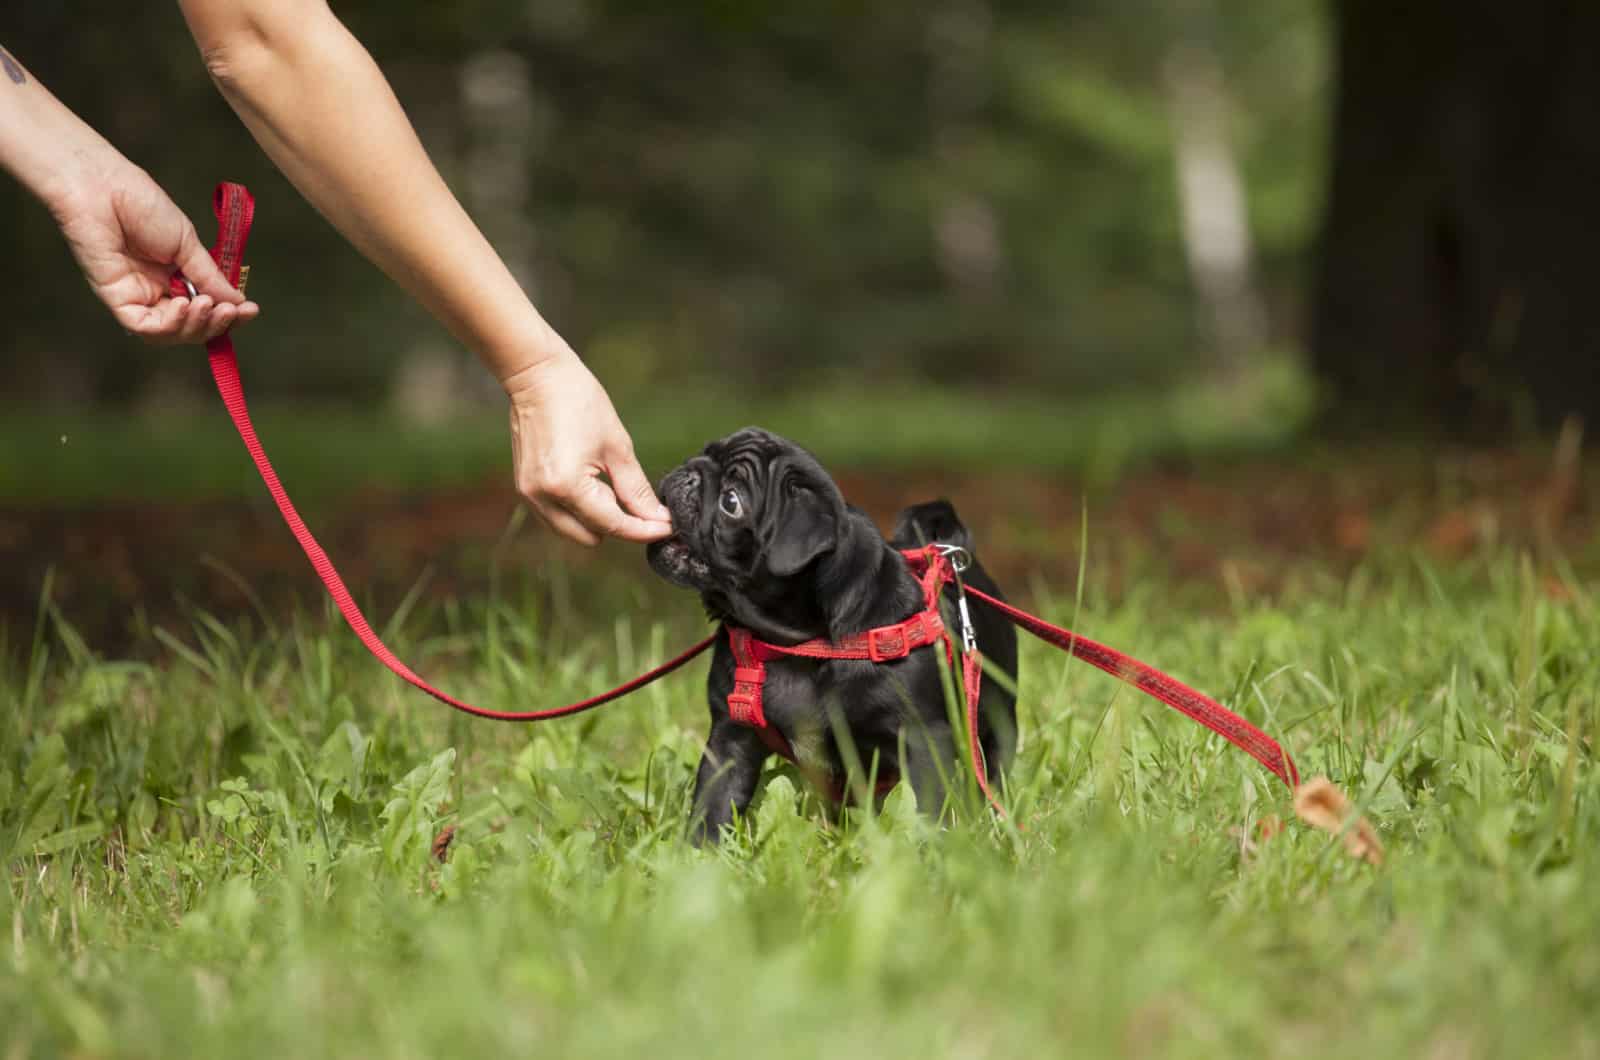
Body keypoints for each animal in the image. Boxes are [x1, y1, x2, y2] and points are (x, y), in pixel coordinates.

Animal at [646, 429, 1011, 845]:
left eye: (731, 502)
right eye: (703, 452)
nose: (689, 472)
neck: (800, 645)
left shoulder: (924, 741)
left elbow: (929, 808)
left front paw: (931, 849)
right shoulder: (729, 738)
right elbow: (714, 803)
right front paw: (699, 851)